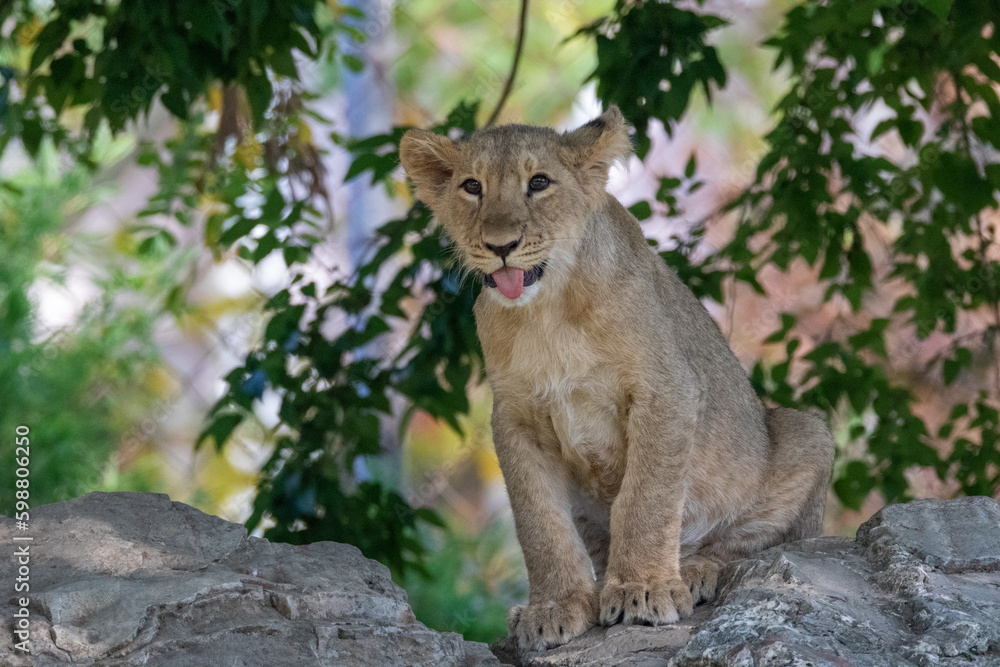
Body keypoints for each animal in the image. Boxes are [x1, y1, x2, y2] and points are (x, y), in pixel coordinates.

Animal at [399, 106, 835, 652]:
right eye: (472, 187)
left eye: (539, 182)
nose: (501, 246)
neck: (546, 312)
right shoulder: (515, 417)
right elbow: (539, 522)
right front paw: (554, 609)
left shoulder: (667, 387)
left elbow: (646, 497)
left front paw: (643, 591)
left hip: (806, 435)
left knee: (757, 544)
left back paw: (694, 570)